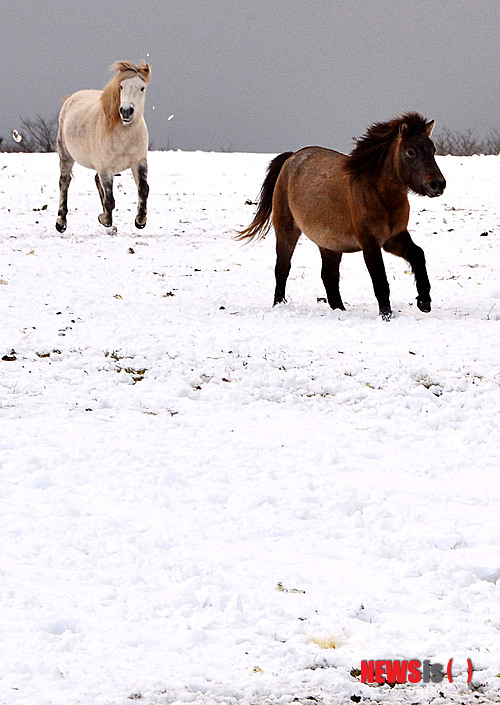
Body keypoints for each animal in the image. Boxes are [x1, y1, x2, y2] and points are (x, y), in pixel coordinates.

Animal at [56, 60, 151, 231]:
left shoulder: (139, 162)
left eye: (142, 87)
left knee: (95, 179)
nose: (126, 111)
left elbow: (143, 189)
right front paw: (105, 219)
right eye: (121, 86)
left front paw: (140, 220)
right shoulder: (106, 169)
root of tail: (70, 99)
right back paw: (61, 222)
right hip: (65, 155)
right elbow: (110, 200)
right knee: (64, 182)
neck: (124, 135)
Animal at [236, 112, 448, 320]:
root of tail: (291, 158)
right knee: (282, 268)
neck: (380, 194)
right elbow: (380, 279)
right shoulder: (370, 242)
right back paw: (279, 305)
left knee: (328, 276)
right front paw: (386, 315)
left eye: (432, 149)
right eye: (411, 151)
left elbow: (418, 255)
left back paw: (339, 309)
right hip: (287, 231)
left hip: (329, 245)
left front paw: (424, 301)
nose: (437, 184)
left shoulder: (393, 237)